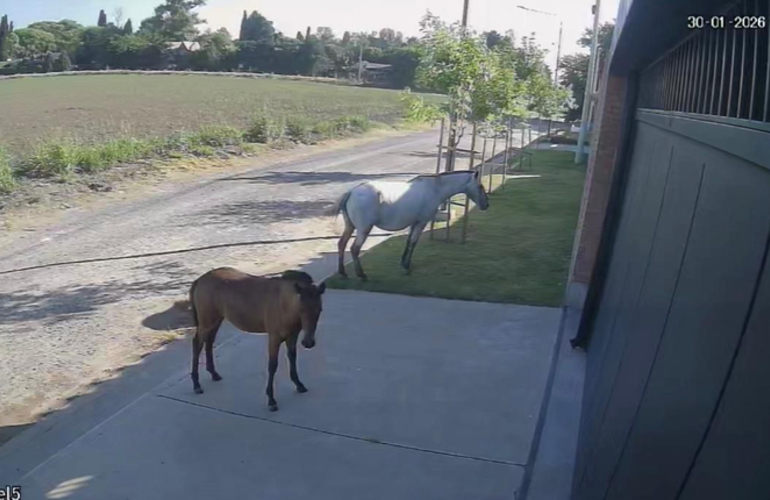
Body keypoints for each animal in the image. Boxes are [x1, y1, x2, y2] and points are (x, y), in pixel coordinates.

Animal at [189, 268, 326, 412]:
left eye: (320, 310)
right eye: (302, 309)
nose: (308, 343)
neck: (284, 304)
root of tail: (200, 279)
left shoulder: (292, 336)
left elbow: (292, 358)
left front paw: (299, 385)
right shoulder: (274, 337)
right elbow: (272, 366)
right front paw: (271, 400)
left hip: (216, 320)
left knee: (209, 343)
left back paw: (214, 374)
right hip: (206, 323)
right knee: (197, 344)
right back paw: (197, 385)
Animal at [331, 169, 490, 280]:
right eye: (480, 186)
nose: (486, 205)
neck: (435, 189)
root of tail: (351, 192)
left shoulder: (414, 223)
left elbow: (408, 242)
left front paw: (403, 263)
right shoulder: (421, 223)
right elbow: (413, 242)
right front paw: (407, 268)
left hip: (350, 226)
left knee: (342, 244)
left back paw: (343, 273)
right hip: (364, 229)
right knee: (354, 249)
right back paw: (362, 275)